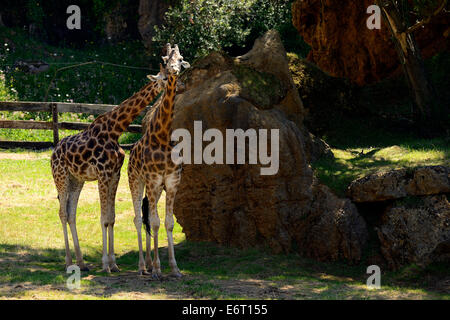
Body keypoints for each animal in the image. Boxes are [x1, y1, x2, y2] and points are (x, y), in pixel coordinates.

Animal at [51, 63, 170, 274]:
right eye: (163, 77)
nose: (173, 82)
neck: (115, 130)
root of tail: (52, 154)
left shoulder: (115, 174)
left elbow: (111, 218)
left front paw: (114, 263)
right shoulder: (102, 175)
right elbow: (104, 218)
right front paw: (105, 264)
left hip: (77, 180)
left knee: (71, 214)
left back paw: (81, 263)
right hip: (61, 177)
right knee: (63, 213)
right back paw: (68, 262)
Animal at [126, 44, 190, 278]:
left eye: (180, 59)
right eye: (165, 60)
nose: (174, 72)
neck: (161, 138)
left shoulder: (171, 183)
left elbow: (168, 223)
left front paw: (174, 268)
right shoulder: (153, 182)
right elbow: (155, 223)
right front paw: (157, 268)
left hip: (155, 189)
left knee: (147, 216)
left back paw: (148, 264)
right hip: (135, 181)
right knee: (139, 219)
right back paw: (142, 266)